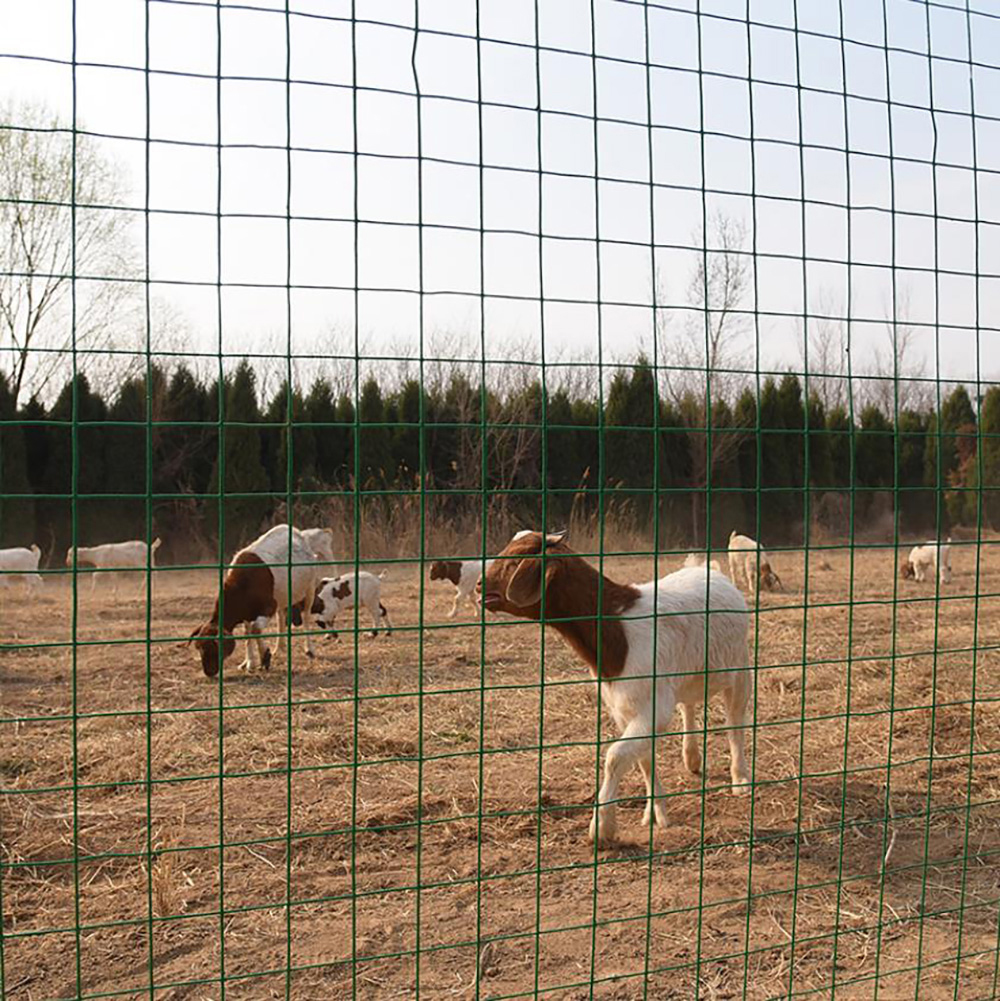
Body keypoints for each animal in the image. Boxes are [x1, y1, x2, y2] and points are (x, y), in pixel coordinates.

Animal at [191, 524, 320, 680]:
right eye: (199, 648)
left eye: (215, 648)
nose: (208, 672)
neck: (242, 586)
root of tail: (295, 531)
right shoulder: (247, 612)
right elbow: (248, 633)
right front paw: (249, 662)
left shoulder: (269, 607)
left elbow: (255, 629)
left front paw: (264, 657)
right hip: (283, 595)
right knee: (281, 617)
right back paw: (280, 647)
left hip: (309, 587)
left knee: (306, 616)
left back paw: (309, 649)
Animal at [478, 528, 752, 848]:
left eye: (514, 561)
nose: (480, 585)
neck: (616, 631)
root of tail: (708, 570)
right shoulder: (625, 708)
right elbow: (644, 760)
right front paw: (655, 812)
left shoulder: (651, 706)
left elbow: (615, 756)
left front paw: (602, 828)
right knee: (688, 704)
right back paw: (692, 757)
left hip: (740, 666)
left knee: (735, 722)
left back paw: (741, 780)